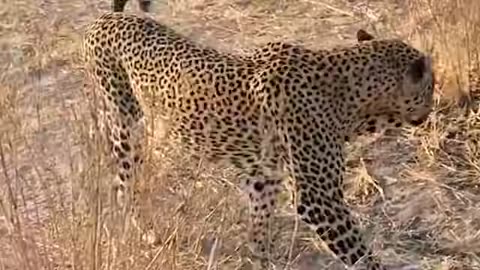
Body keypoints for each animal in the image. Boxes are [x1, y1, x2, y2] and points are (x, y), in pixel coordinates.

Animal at [81, 11, 436, 270]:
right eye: (430, 87)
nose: (431, 108)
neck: (353, 98)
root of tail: (104, 19)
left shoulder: (264, 174)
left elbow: (260, 221)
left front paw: (261, 258)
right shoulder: (318, 198)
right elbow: (359, 253)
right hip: (125, 125)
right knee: (122, 184)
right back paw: (141, 231)